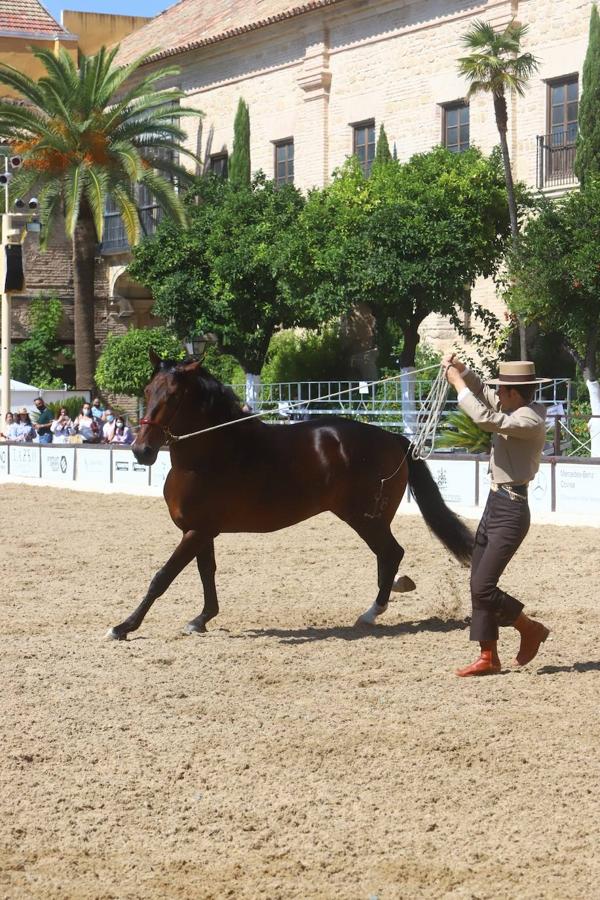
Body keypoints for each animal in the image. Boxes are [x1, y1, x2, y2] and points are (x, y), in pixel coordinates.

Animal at [106, 352, 474, 640]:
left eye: (172, 396)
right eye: (147, 390)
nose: (141, 451)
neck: (210, 454)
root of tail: (393, 438)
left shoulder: (196, 532)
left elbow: (162, 578)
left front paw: (124, 626)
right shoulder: (200, 531)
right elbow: (206, 572)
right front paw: (201, 619)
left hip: (365, 519)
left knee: (391, 553)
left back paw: (372, 612)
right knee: (388, 556)